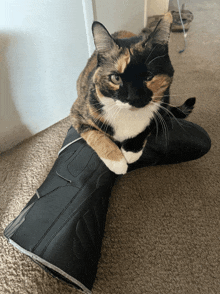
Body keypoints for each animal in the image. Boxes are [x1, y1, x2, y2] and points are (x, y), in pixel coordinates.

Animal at [70, 12, 194, 175]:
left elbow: (150, 124)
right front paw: (117, 161)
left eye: (148, 76)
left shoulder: (163, 104)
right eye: (115, 78)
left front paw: (131, 151)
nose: (134, 98)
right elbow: (95, 135)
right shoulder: (78, 112)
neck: (128, 115)